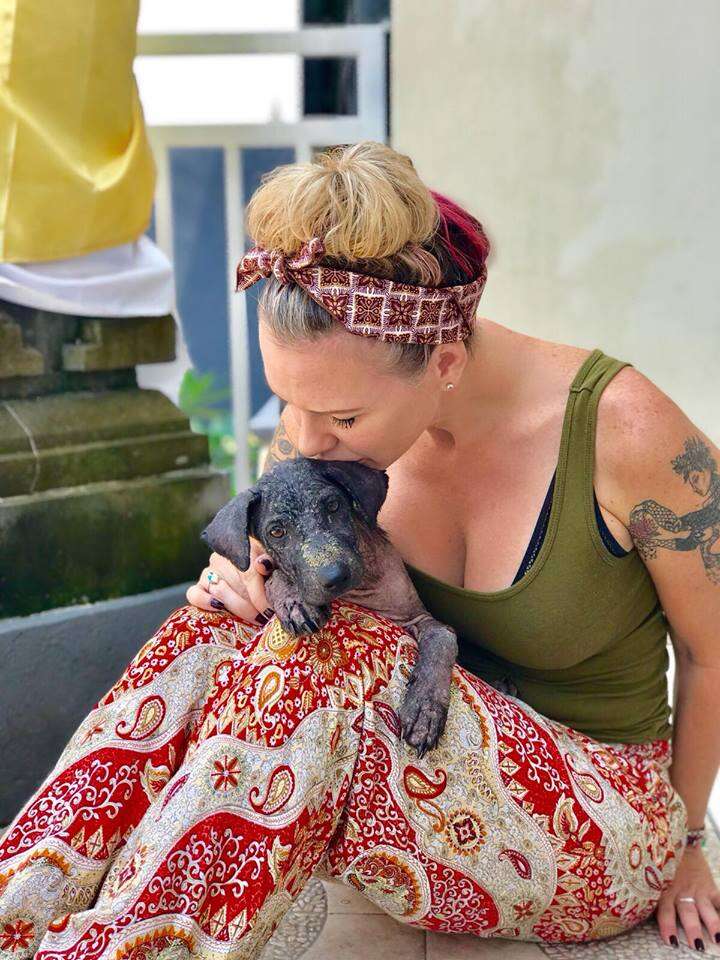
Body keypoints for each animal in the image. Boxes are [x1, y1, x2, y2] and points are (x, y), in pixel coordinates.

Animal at [202, 458, 516, 756]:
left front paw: (425, 708)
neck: (359, 591)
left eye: (333, 505)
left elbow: (441, 641)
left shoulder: (420, 619)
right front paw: (294, 601)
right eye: (277, 531)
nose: (334, 576)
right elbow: (274, 576)